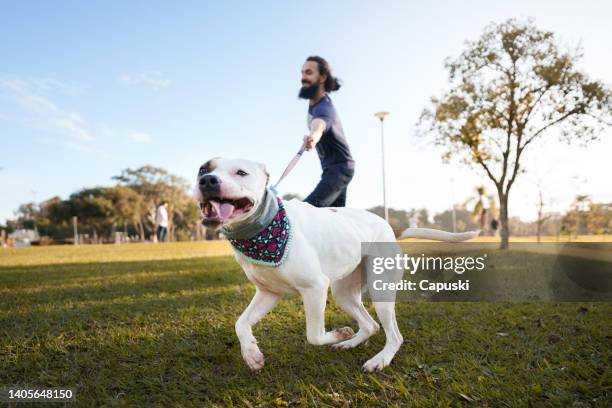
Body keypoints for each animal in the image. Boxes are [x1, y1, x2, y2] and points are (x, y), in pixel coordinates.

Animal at [196, 158, 478, 372]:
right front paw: (252, 354)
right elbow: (240, 323)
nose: (207, 180)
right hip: (344, 292)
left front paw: (340, 332)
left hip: (380, 288)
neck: (262, 231)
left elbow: (314, 335)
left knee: (394, 335)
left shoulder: (315, 288)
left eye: (241, 172)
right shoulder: (268, 293)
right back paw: (350, 344)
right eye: (202, 168)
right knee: (371, 325)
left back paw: (379, 360)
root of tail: (388, 225)